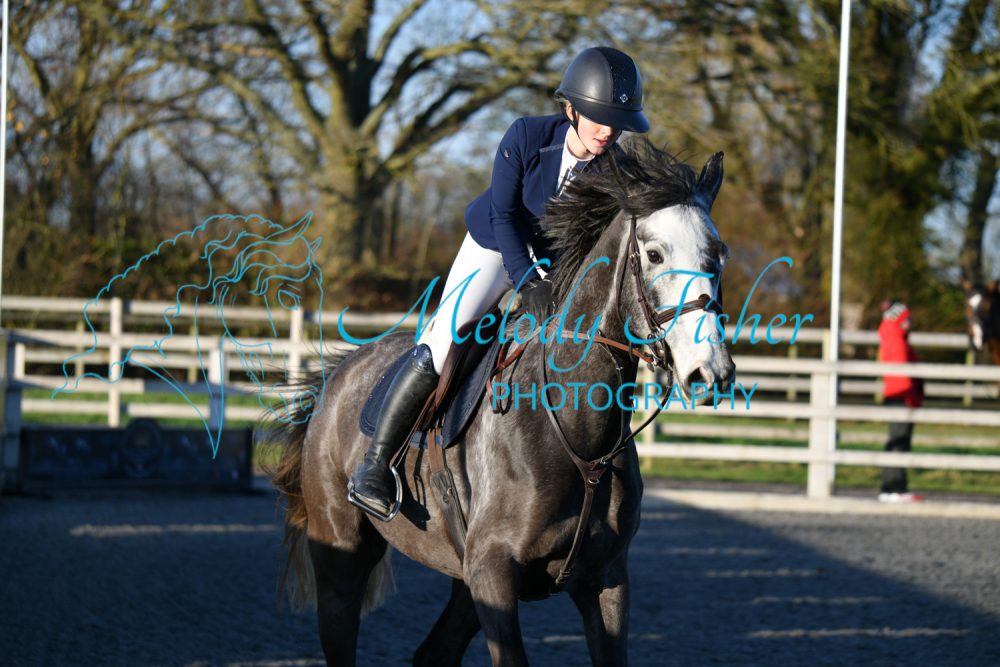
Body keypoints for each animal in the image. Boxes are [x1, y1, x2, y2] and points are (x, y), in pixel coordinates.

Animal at [269, 140, 735, 666]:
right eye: (654, 254)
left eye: (718, 254)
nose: (710, 373)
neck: (577, 433)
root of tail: (339, 372)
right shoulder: (492, 571)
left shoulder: (607, 578)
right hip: (341, 550)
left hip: (460, 574)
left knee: (434, 652)